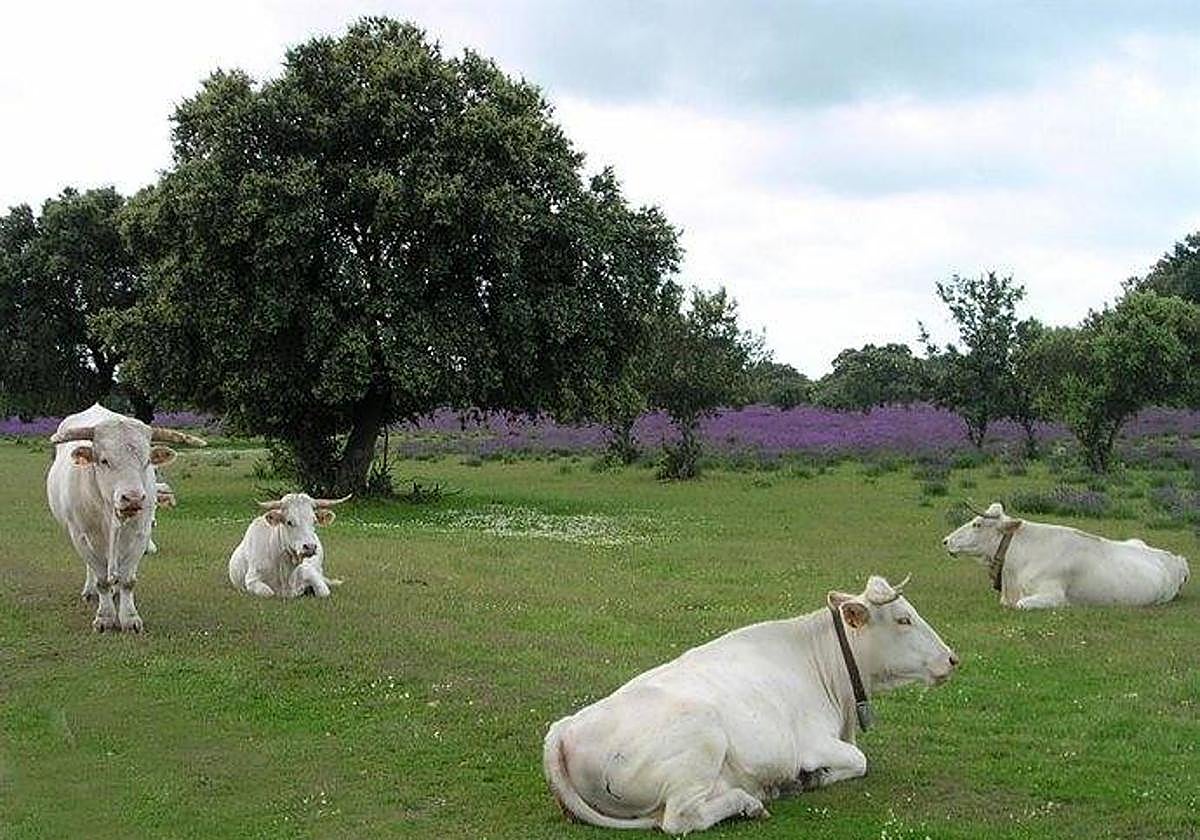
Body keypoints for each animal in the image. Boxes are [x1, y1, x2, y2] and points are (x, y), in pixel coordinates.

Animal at [46, 403, 206, 632]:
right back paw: (90, 591)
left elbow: (128, 580)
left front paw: (129, 618)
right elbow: (101, 579)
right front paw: (105, 617)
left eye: (147, 461)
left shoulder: (141, 534)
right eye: (104, 460)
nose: (133, 498)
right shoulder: (80, 535)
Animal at [543, 575, 957, 835]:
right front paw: (813, 777)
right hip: (702, 740)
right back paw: (750, 801)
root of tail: (565, 728)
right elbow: (860, 760)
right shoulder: (813, 744)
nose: (952, 659)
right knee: (679, 818)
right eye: (904, 619)